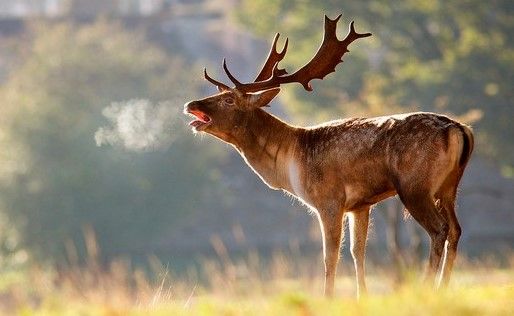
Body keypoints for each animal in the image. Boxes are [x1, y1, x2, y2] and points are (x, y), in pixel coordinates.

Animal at [183, 13, 472, 298]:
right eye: (221, 94)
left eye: (229, 100)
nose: (190, 104)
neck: (290, 159)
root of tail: (458, 129)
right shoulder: (361, 204)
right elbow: (358, 251)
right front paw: (362, 296)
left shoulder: (329, 199)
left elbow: (330, 255)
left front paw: (328, 297)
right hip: (448, 187)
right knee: (456, 228)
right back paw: (444, 286)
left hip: (415, 186)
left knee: (439, 229)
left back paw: (428, 287)